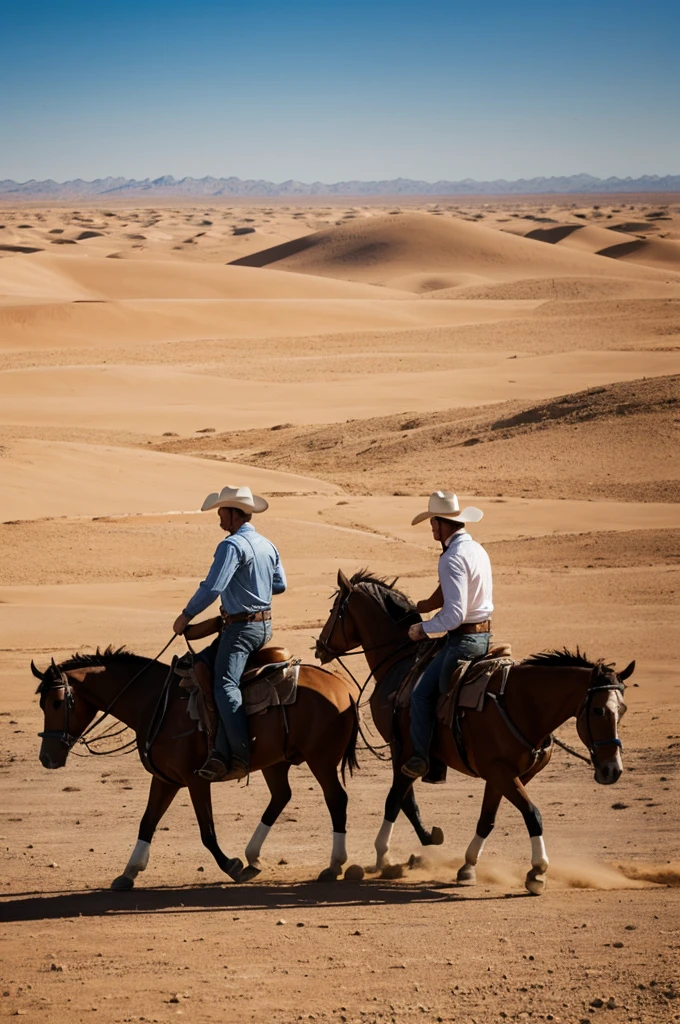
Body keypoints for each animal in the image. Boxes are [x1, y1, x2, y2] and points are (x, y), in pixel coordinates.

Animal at [30, 647, 360, 888]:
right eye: (42, 704)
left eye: (58, 702)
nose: (47, 758)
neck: (155, 703)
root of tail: (342, 687)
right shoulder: (166, 780)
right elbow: (147, 822)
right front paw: (129, 871)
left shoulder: (196, 780)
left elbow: (207, 832)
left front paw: (231, 866)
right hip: (276, 762)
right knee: (281, 796)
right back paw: (253, 856)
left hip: (321, 760)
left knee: (336, 799)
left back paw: (333, 865)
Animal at [315, 573, 630, 892]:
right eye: (600, 710)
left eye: (619, 709)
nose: (612, 770)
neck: (521, 701)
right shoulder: (495, 771)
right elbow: (489, 816)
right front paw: (467, 865)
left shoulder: (414, 751)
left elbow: (513, 814)